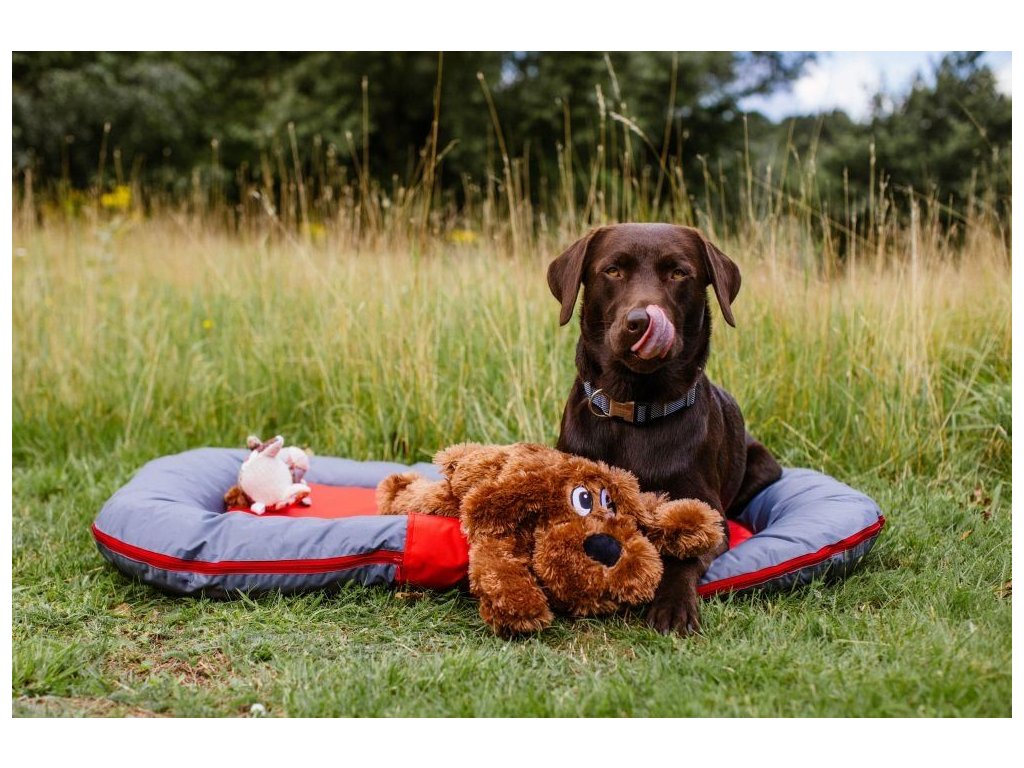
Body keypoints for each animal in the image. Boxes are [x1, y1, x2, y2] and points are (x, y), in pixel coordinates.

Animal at [547, 223, 782, 635]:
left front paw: (673, 606)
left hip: (764, 464)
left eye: (678, 273)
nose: (640, 322)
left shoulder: (709, 515)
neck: (637, 407)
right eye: (613, 271)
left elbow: (682, 554)